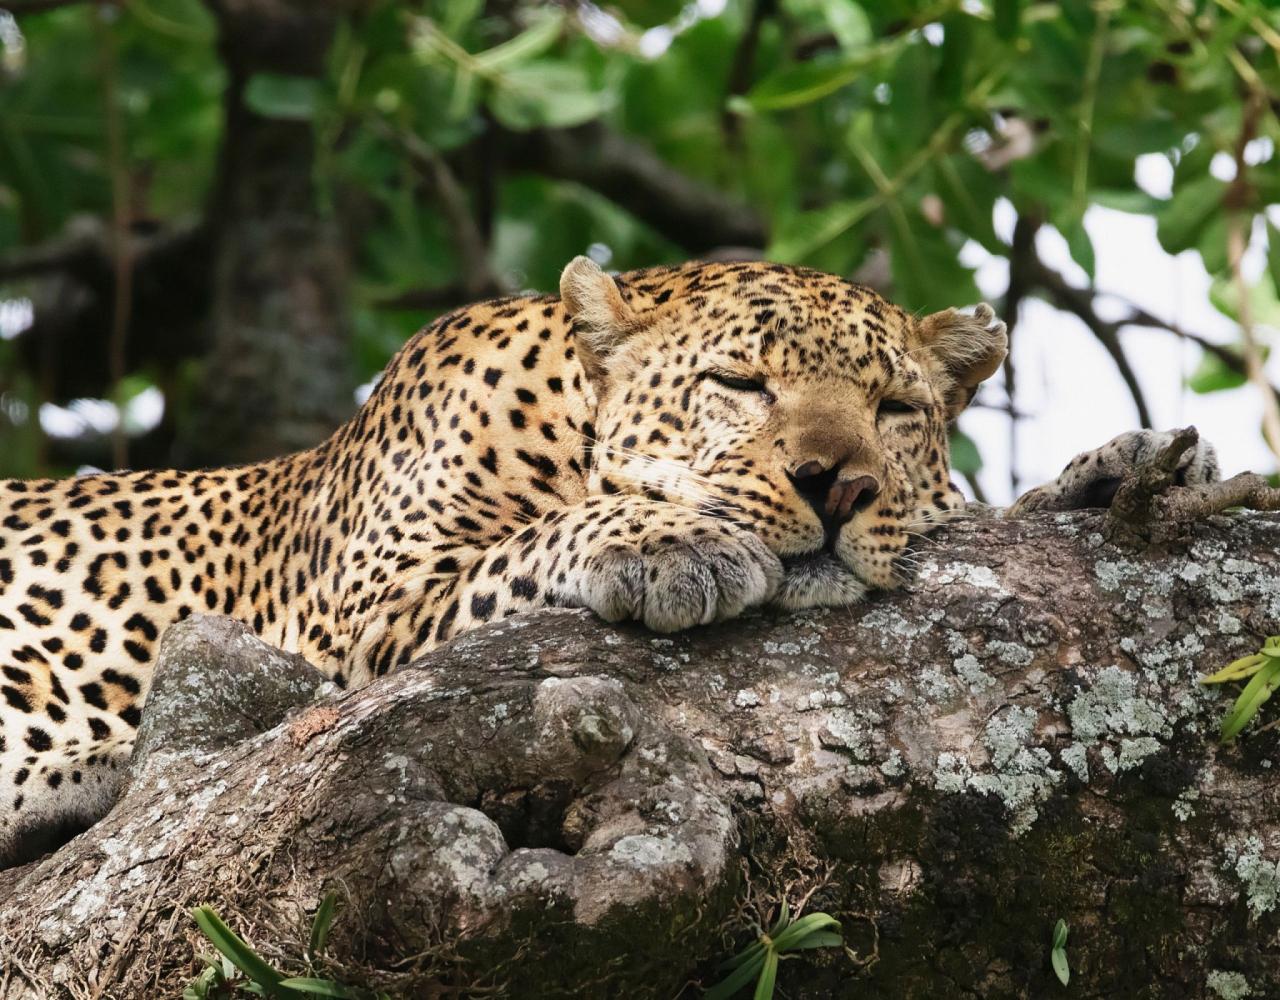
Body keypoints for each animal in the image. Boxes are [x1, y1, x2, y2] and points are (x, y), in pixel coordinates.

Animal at [0, 257, 1218, 865]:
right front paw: (673, 541)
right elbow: (530, 543)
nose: (837, 484)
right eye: (739, 382)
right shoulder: (370, 612)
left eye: (895, 410)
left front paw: (1111, 472)